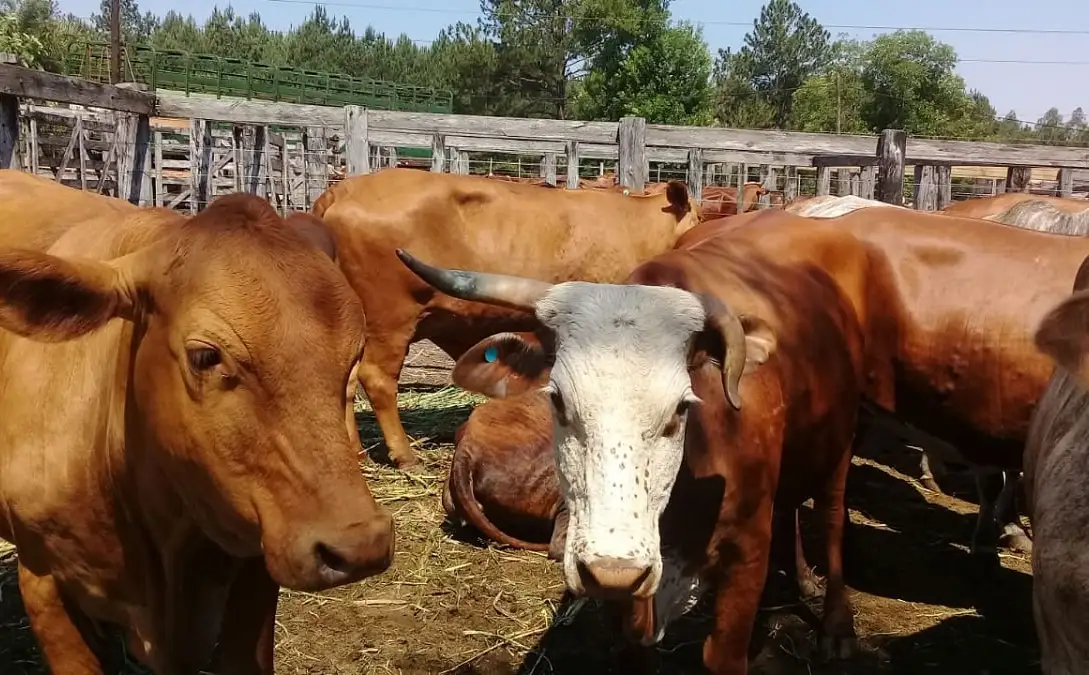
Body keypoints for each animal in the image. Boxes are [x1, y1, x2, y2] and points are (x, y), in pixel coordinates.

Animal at [309, 166, 696, 470]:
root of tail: (343, 189)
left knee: (347, 381)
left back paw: (356, 451)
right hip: (390, 319)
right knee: (376, 379)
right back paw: (405, 455)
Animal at [400, 219, 866, 670]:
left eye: (681, 407)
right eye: (557, 399)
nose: (613, 569)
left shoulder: (747, 553)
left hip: (840, 444)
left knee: (831, 518)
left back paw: (837, 625)